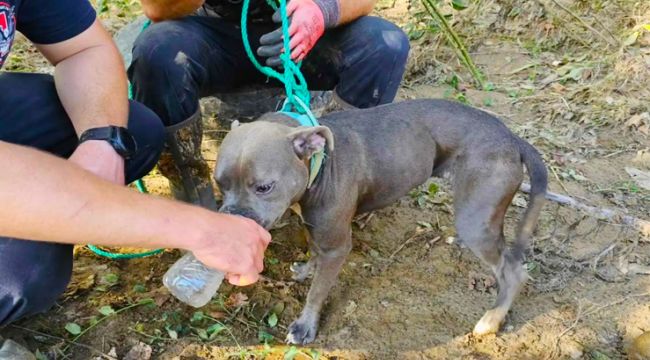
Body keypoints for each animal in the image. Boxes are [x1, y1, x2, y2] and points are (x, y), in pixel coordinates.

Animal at [215, 97, 544, 344]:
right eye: (219, 184)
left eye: (264, 187)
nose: (232, 218)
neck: (318, 165)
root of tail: (511, 138)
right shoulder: (317, 229)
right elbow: (313, 251)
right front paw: (307, 269)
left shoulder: (338, 247)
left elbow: (317, 291)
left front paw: (305, 325)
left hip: (475, 220)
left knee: (514, 271)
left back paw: (492, 319)